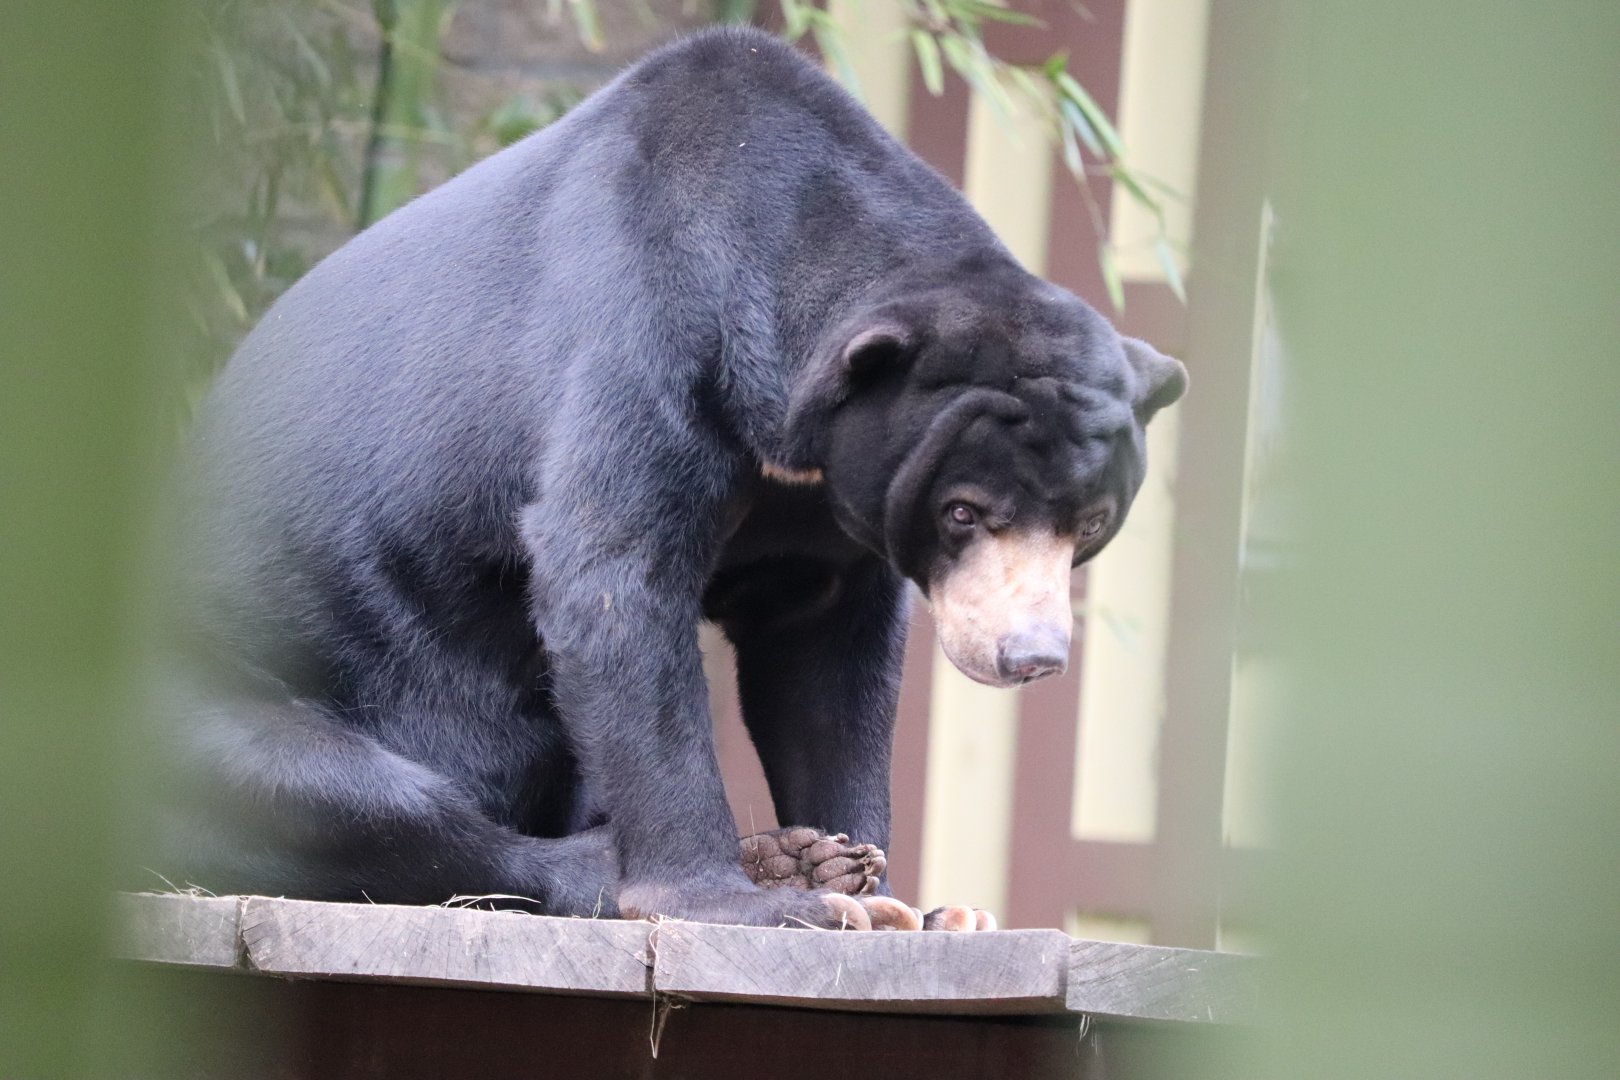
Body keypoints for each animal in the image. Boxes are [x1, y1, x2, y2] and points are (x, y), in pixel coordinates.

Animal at [159, 26, 1185, 932]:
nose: (1030, 658)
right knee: (328, 790)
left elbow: (828, 658)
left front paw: (898, 896)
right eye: (964, 513)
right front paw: (747, 900)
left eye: (1089, 526)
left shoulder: (822, 511)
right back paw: (657, 868)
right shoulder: (645, 336)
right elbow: (613, 578)